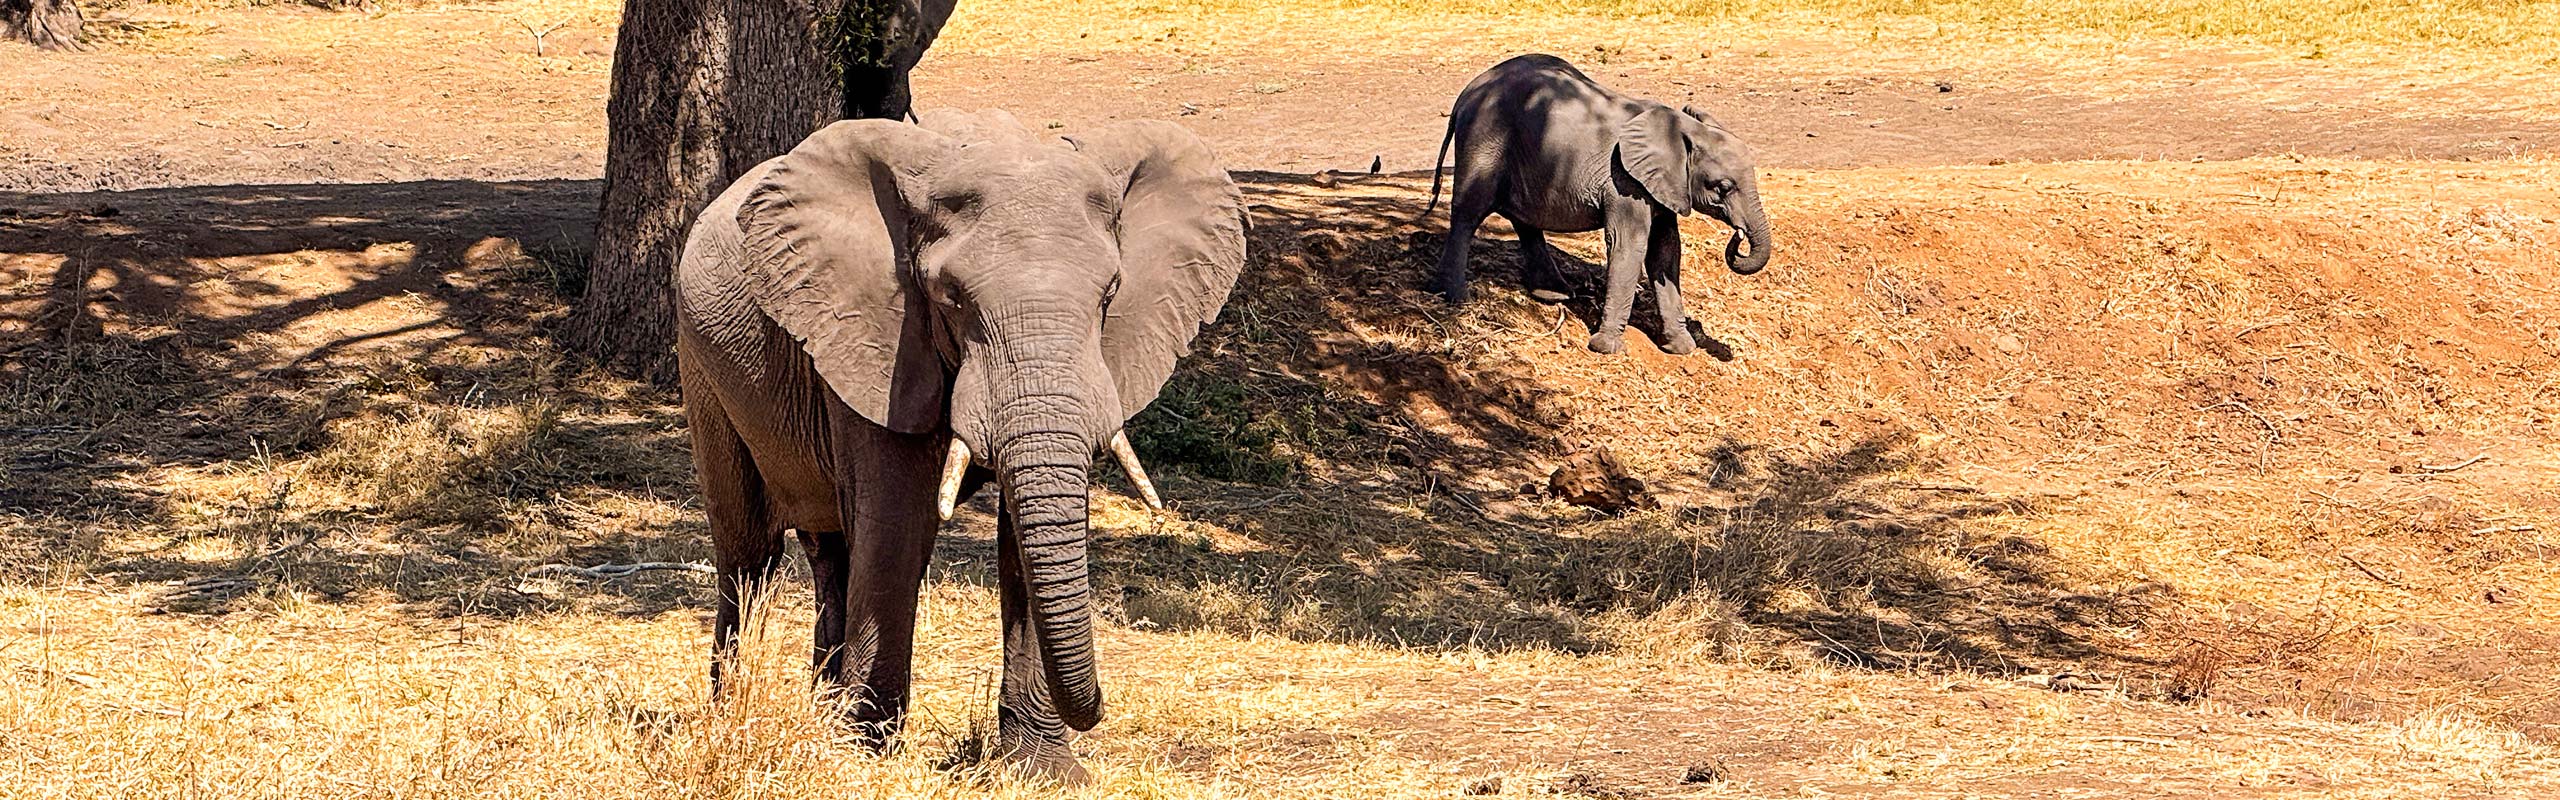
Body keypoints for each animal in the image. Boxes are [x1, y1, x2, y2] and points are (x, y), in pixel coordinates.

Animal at [673, 108, 1246, 782]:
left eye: (1110, 294)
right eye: (952, 299)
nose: (1102, 708)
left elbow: (1022, 539)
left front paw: (1046, 771)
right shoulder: (878, 335)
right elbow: (898, 524)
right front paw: (866, 756)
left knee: (830, 552)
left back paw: (819, 711)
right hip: (701, 359)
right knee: (750, 555)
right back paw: (734, 714)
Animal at [1423, 53, 1772, 355]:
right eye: (1724, 187)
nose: (1738, 236)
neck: (1682, 129)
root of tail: (1466, 94)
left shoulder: (1662, 186)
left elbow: (1666, 251)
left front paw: (1682, 348)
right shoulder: (1625, 182)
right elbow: (1629, 246)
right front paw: (1606, 348)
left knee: (1524, 219)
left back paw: (1555, 293)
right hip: (1485, 139)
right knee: (1469, 212)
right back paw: (1454, 297)